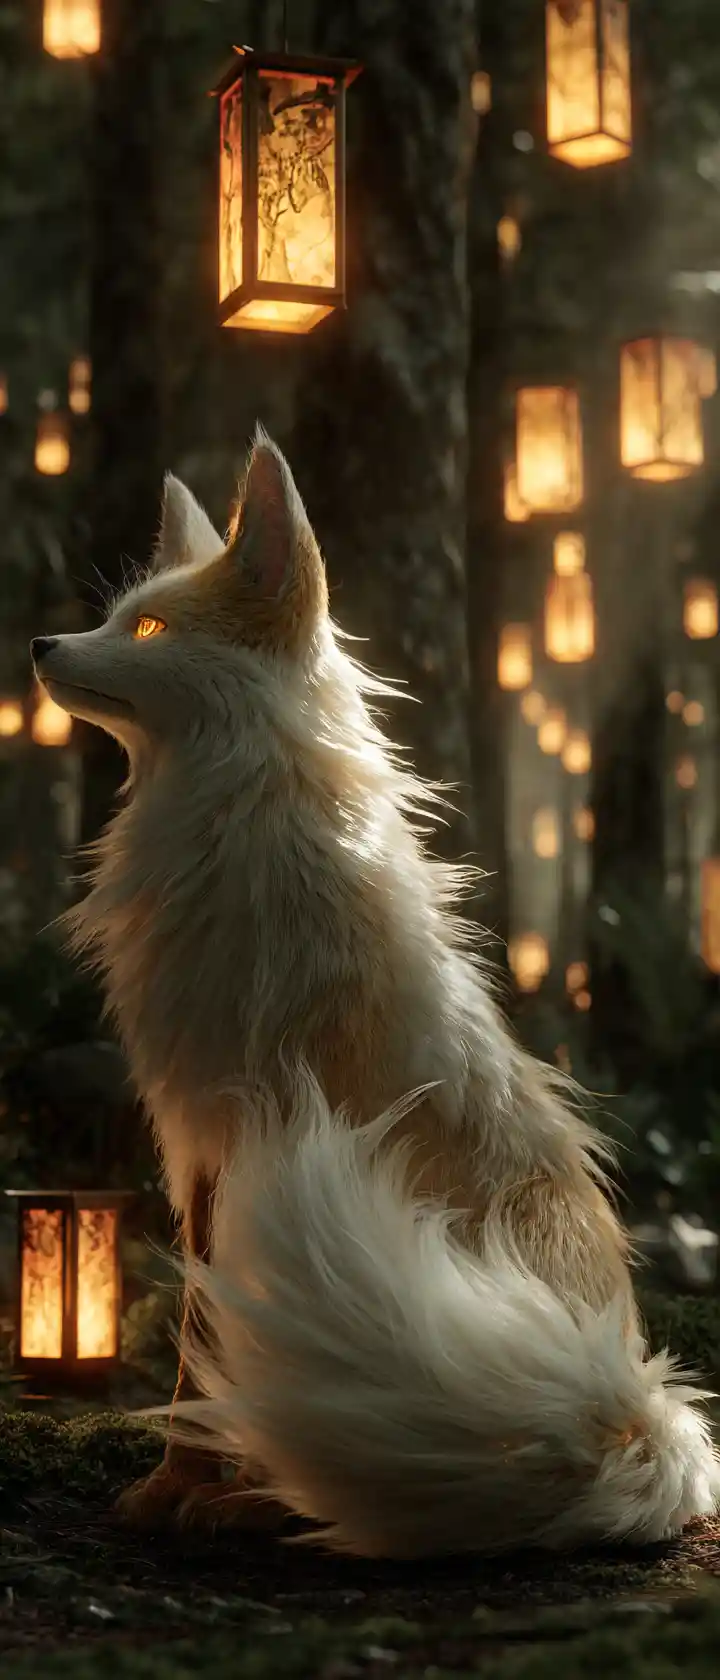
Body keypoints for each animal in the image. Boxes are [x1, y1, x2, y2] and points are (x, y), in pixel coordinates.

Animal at [31, 428, 720, 1558]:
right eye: (115, 615)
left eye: (148, 625)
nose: (44, 644)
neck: (229, 814)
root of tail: (631, 1412)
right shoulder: (202, 1146)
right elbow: (201, 1338)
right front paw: (180, 1485)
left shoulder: (240, 1125)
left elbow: (202, 1337)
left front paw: (202, 1491)